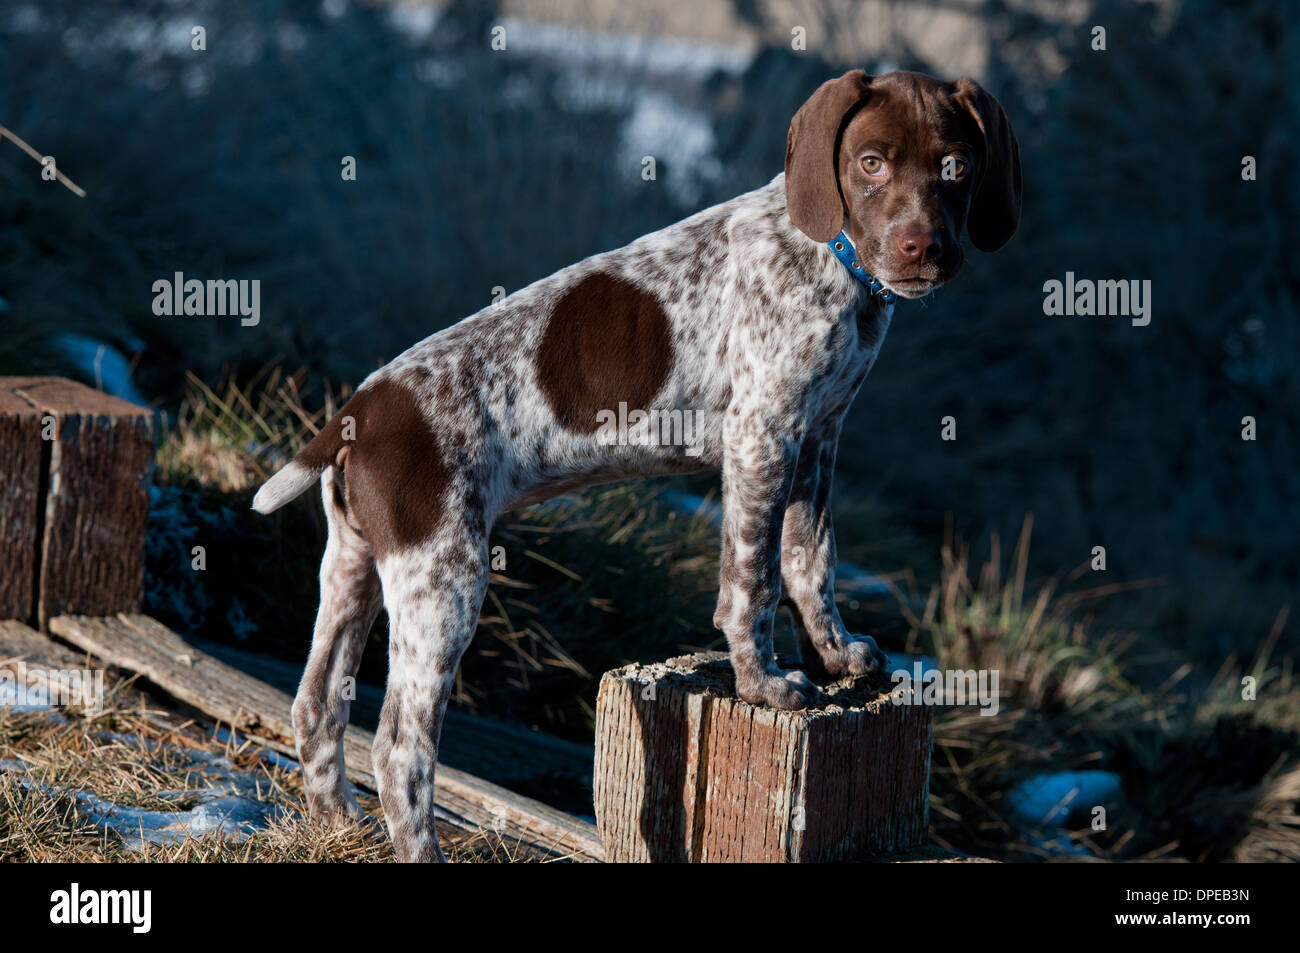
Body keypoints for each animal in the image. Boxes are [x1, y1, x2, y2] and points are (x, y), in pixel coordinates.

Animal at [253, 70, 1019, 858]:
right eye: (871, 163)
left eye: (957, 167)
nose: (920, 247)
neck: (829, 257)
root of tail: (362, 408)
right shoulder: (762, 434)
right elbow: (754, 582)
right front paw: (765, 683)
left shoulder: (818, 436)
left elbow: (813, 559)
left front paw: (836, 654)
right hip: (442, 579)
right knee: (400, 749)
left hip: (355, 565)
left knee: (315, 706)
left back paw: (336, 824)